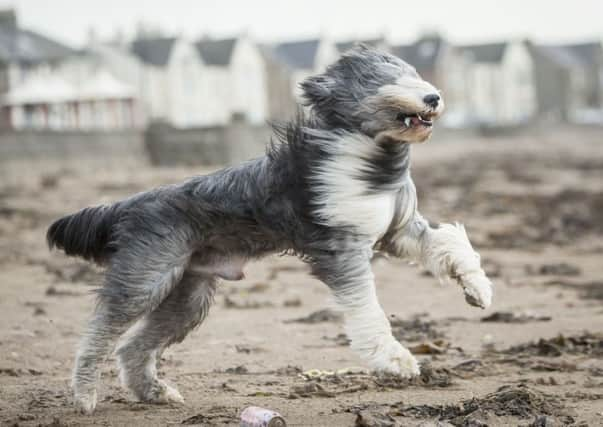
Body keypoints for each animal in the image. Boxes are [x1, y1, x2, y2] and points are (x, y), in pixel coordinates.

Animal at [46, 46, 490, 414]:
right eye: (387, 79)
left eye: (414, 74)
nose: (433, 97)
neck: (370, 156)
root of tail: (134, 202)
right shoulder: (342, 247)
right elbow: (367, 307)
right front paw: (395, 359)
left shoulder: (397, 230)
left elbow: (449, 241)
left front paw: (478, 289)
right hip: (147, 276)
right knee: (100, 333)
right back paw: (84, 396)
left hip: (188, 297)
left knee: (131, 347)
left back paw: (154, 393)